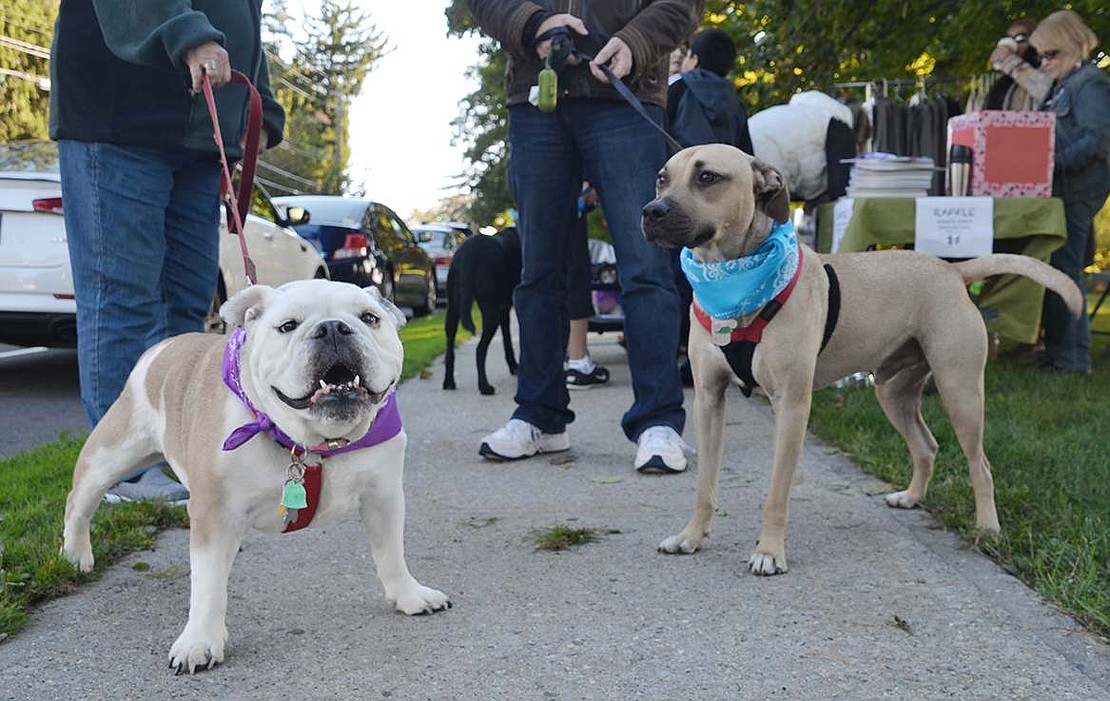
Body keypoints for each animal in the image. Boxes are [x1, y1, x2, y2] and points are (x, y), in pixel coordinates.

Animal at [60, 279, 448, 674]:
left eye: (370, 318)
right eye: (288, 326)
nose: (333, 328)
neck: (311, 444)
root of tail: (161, 348)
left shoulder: (383, 497)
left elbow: (390, 551)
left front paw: (409, 595)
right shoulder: (214, 514)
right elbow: (208, 584)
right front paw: (199, 641)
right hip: (111, 453)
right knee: (79, 501)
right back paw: (75, 556)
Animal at [444, 228, 521, 397]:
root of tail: (467, 252)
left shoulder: (504, 309)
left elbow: (507, 340)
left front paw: (514, 366)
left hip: (453, 309)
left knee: (450, 346)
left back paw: (449, 382)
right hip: (491, 312)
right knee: (480, 349)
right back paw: (484, 386)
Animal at [643, 144, 1083, 576]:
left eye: (707, 177)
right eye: (662, 177)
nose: (651, 211)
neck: (734, 281)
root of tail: (952, 271)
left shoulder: (791, 406)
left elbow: (776, 494)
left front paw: (769, 551)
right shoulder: (709, 400)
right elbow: (705, 484)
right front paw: (691, 537)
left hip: (961, 392)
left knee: (981, 464)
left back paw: (988, 528)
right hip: (893, 393)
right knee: (926, 446)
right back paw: (911, 497)